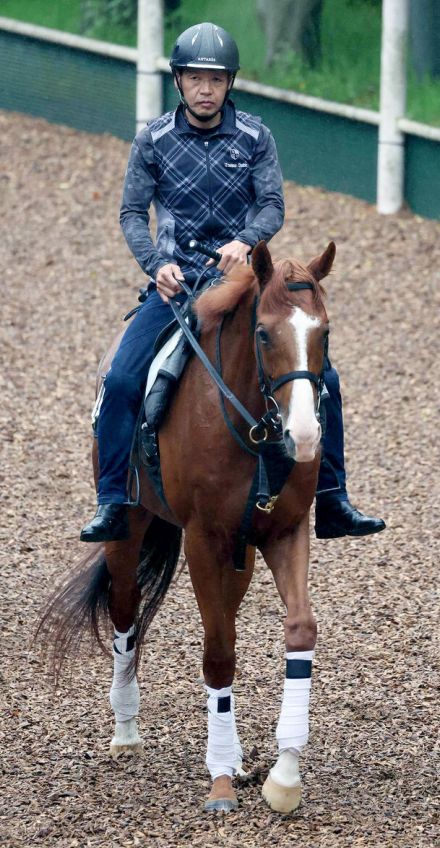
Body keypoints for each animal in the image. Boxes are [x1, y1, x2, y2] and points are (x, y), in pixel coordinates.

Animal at [39, 238, 336, 816]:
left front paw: (283, 777)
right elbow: (218, 653)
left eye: (325, 332)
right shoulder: (202, 539)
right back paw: (126, 730)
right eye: (264, 333)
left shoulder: (285, 532)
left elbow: (299, 630)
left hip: (239, 552)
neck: (254, 426)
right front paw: (220, 779)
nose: (306, 436)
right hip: (128, 527)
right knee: (125, 610)